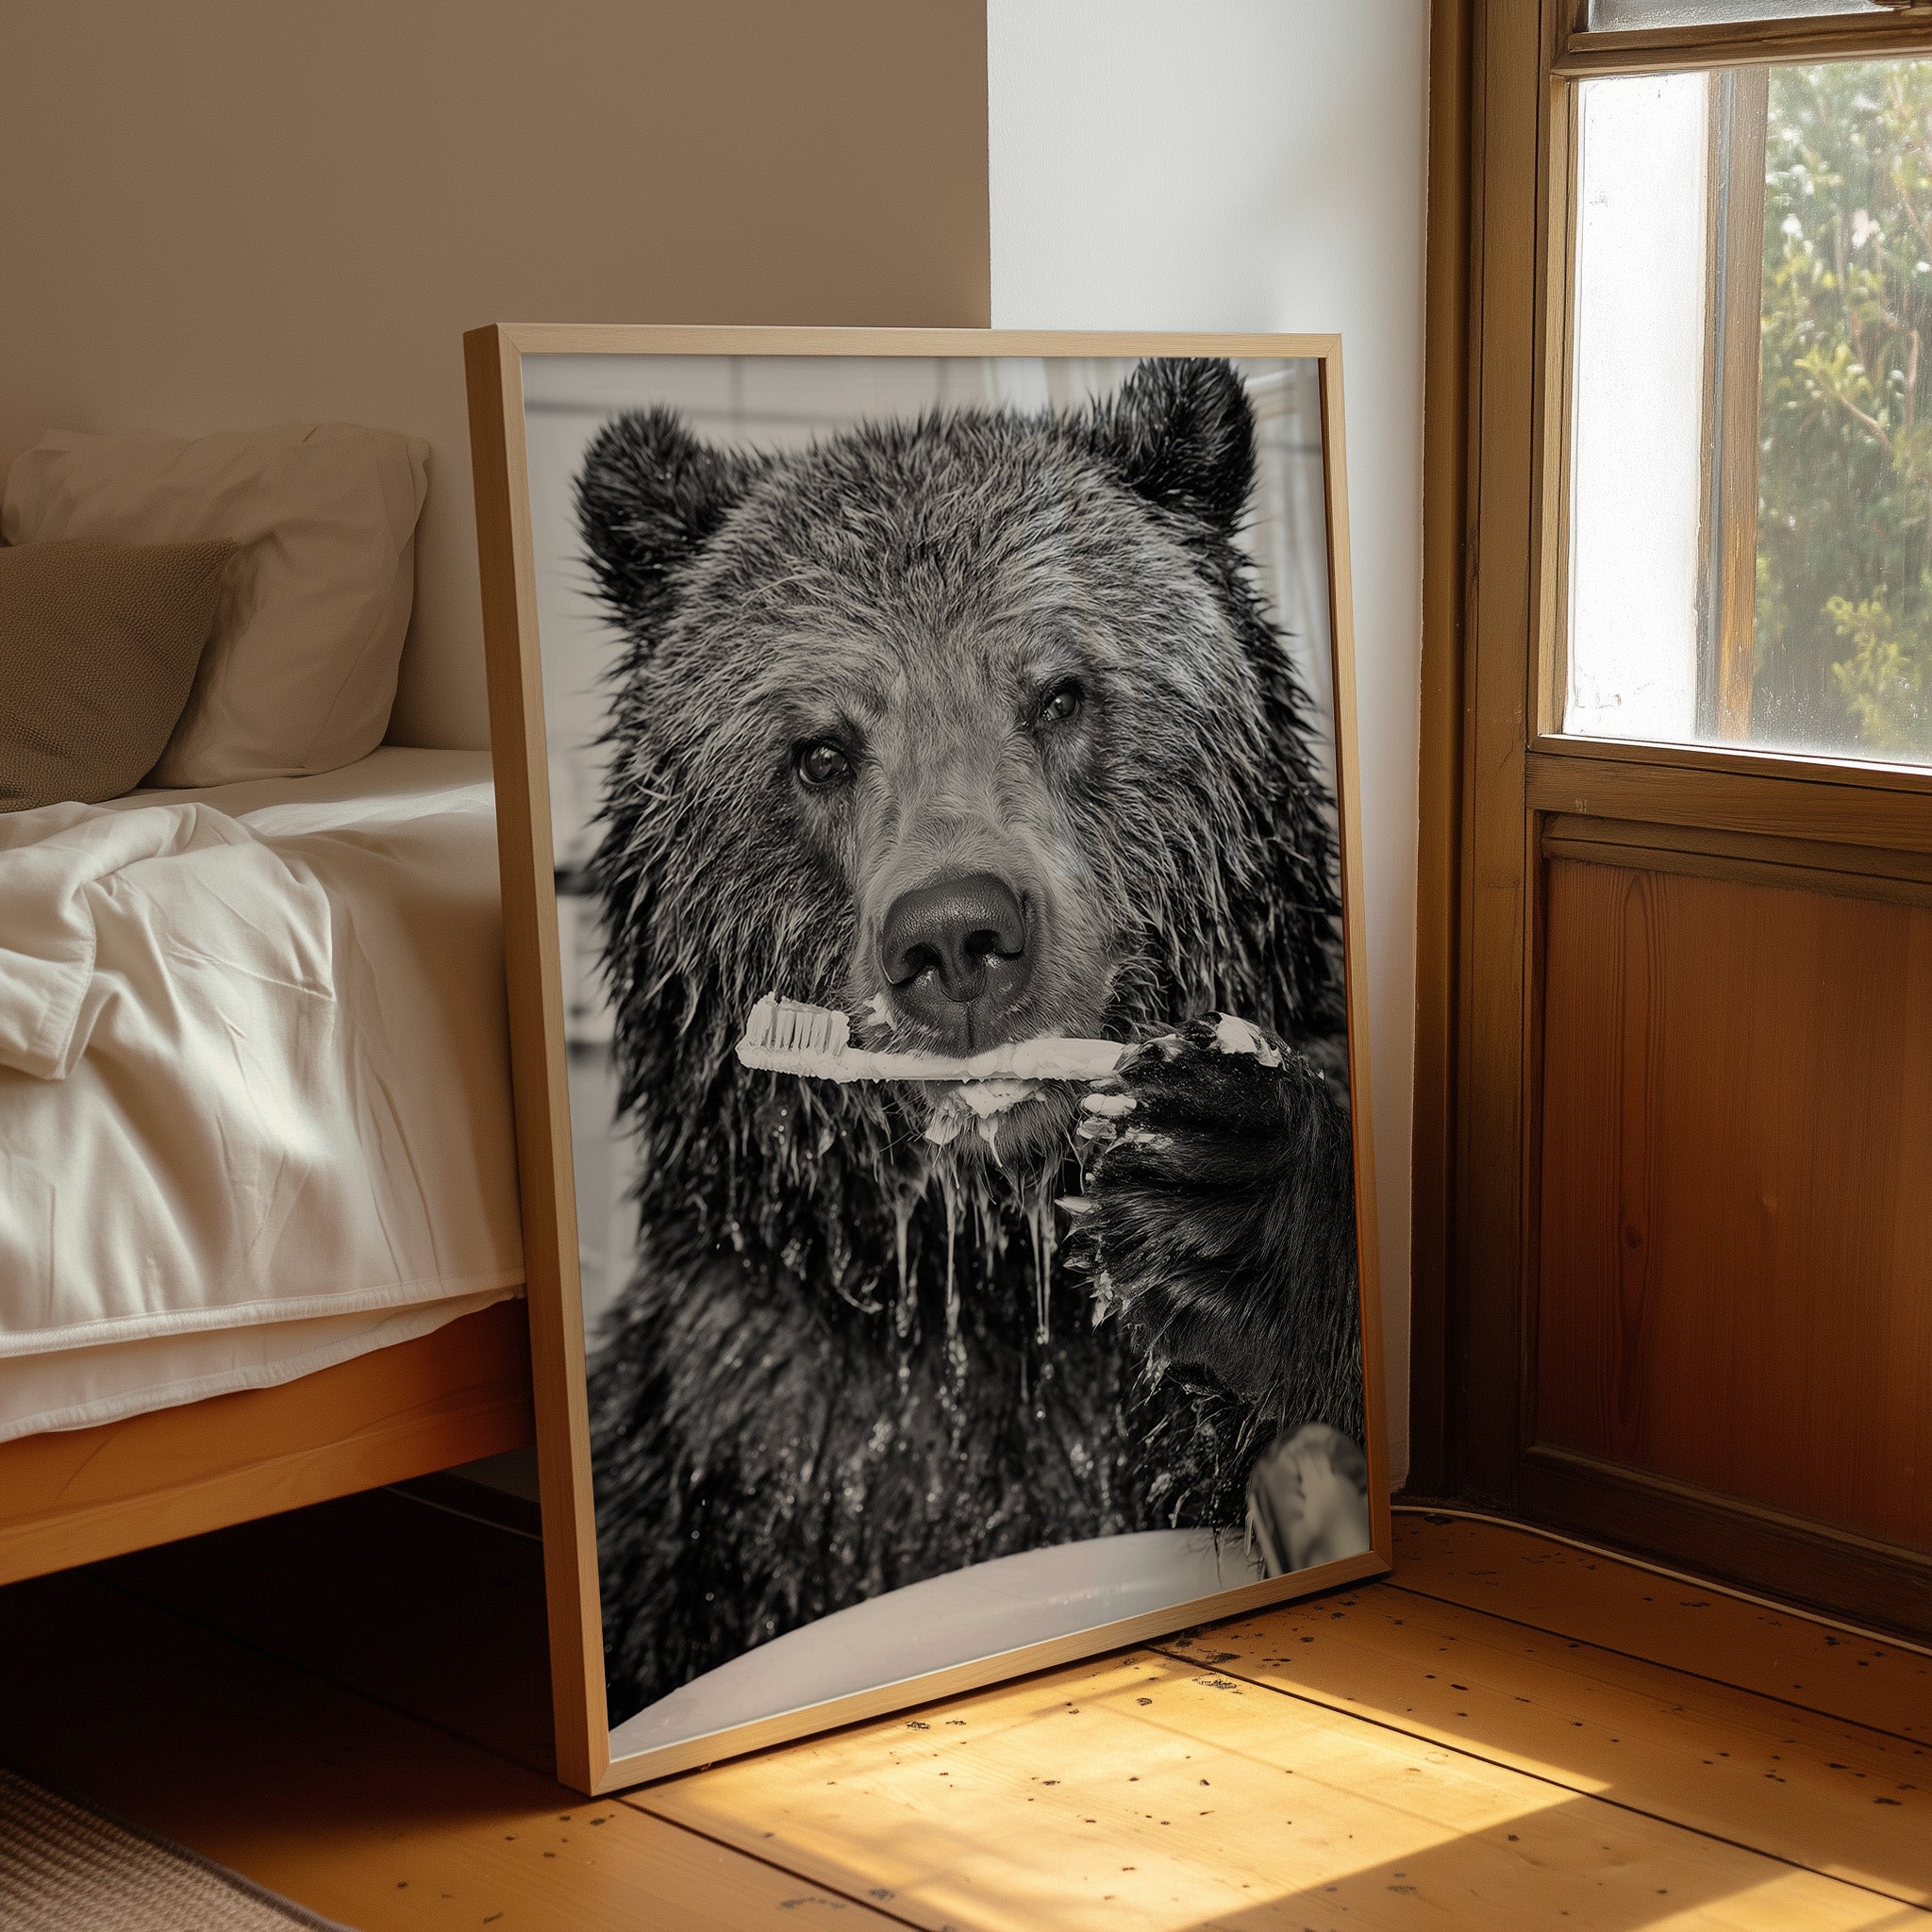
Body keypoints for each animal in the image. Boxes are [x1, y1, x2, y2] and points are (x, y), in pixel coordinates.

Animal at [576, 357, 1364, 1722]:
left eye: (1060, 691)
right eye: (820, 749)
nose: (956, 934)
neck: (993, 1283)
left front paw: (1223, 1190)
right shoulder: (743, 1442)